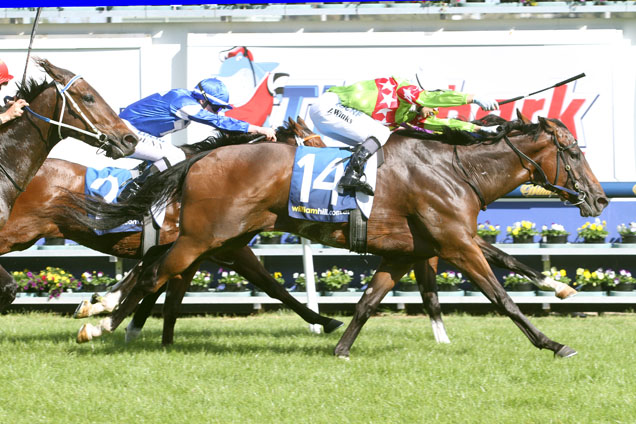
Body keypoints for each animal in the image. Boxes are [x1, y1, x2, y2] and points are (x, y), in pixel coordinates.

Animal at [66, 112, 608, 358]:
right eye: (573, 152)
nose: (601, 199)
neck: (455, 170)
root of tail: (202, 157)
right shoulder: (456, 243)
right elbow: (503, 295)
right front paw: (553, 342)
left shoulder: (407, 252)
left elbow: (369, 301)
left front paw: (342, 348)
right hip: (203, 237)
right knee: (154, 273)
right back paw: (100, 322)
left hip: (221, 239)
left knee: (159, 273)